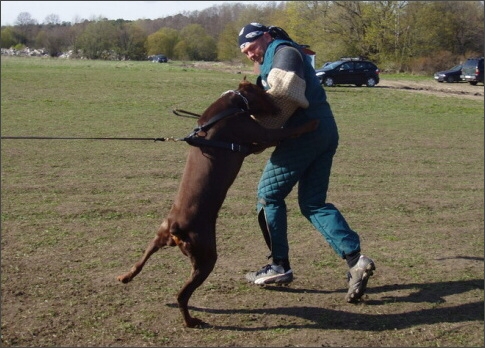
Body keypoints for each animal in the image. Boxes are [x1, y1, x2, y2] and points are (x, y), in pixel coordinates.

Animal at [117, 78, 318, 326]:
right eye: (265, 93)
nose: (278, 109)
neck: (232, 105)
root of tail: (176, 228)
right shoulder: (261, 134)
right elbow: (288, 131)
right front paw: (312, 122)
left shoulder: (254, 143)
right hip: (206, 257)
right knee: (182, 295)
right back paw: (191, 321)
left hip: (158, 237)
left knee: (141, 261)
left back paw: (125, 276)